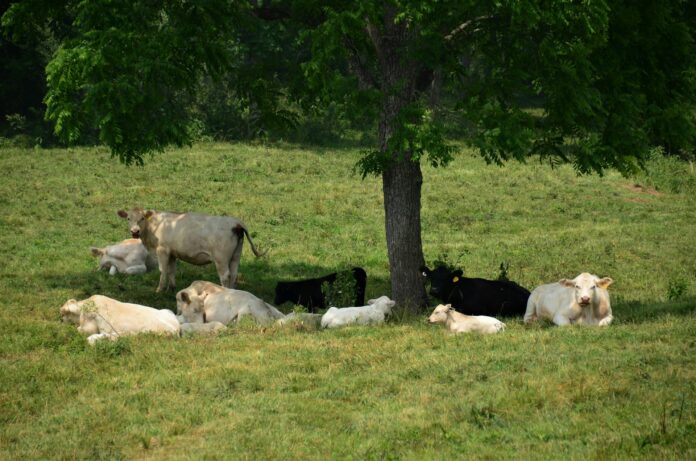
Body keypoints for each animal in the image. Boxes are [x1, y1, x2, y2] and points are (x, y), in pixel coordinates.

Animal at [117, 208, 265, 292]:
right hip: (236, 256)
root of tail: (235, 223)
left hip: (221, 258)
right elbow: (171, 270)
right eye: (128, 218)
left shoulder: (162, 250)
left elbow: (163, 270)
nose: (135, 231)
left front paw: (159, 289)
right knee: (234, 274)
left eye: (142, 218)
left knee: (225, 276)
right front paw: (171, 288)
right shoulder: (172, 253)